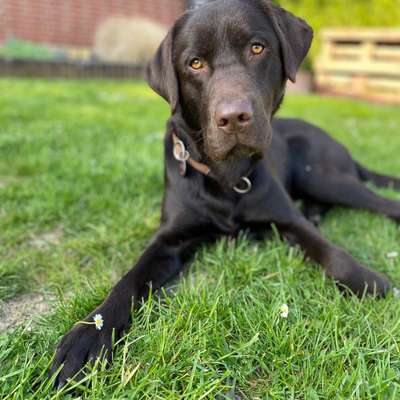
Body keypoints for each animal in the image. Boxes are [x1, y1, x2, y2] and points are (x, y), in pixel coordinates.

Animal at [50, 0, 400, 386]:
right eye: (195, 63)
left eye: (257, 48)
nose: (233, 117)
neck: (226, 174)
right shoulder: (169, 240)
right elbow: (128, 281)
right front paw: (86, 336)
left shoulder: (287, 220)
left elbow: (333, 253)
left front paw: (366, 280)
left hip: (324, 176)